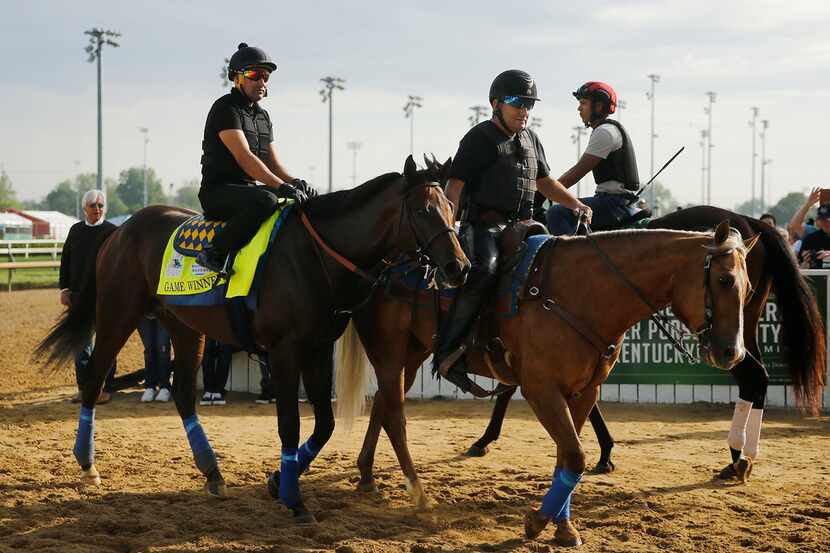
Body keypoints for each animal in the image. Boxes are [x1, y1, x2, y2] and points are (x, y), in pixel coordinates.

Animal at [35, 155, 472, 520]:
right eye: (424, 210)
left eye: (452, 209)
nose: (459, 267)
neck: (316, 255)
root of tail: (119, 230)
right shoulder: (284, 351)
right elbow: (290, 425)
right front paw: (295, 500)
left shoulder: (316, 349)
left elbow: (325, 424)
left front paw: (279, 481)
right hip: (117, 314)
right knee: (94, 380)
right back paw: (88, 464)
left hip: (183, 326)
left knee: (183, 394)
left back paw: (212, 471)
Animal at [336, 218, 760, 540]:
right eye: (724, 280)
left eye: (750, 288)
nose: (733, 353)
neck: (581, 293)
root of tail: (384, 266)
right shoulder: (541, 390)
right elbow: (574, 455)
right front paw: (540, 521)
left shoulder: (584, 392)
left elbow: (566, 457)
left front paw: (563, 526)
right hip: (390, 353)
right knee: (395, 416)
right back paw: (417, 492)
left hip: (412, 355)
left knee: (383, 404)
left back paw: (367, 474)